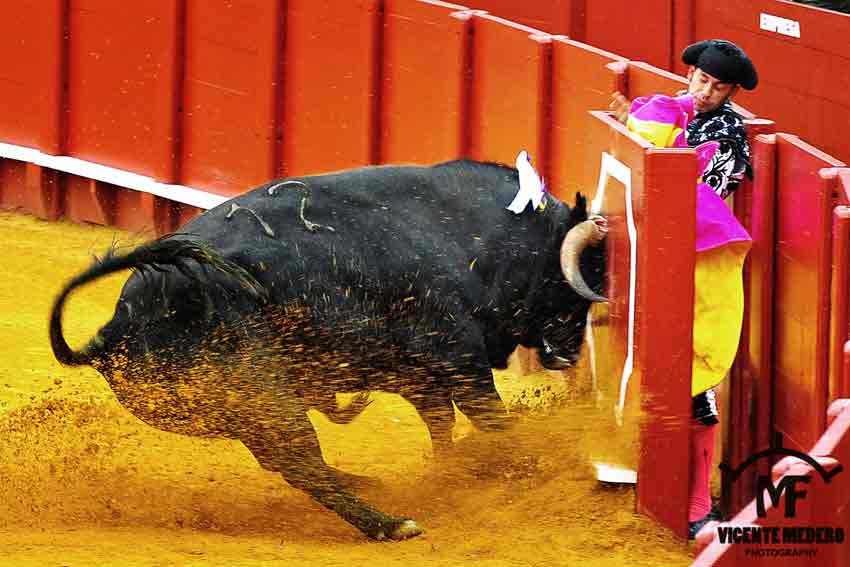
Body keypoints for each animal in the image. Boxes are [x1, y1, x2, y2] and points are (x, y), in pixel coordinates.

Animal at [49, 160, 608, 540]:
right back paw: (388, 523)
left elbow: (442, 426)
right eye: (583, 278)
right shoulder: (456, 358)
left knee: (286, 463)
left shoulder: (419, 375)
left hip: (245, 411)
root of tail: (116, 328)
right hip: (265, 397)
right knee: (302, 466)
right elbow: (491, 418)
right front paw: (526, 469)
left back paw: (374, 488)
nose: (570, 354)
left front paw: (452, 473)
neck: (472, 233)